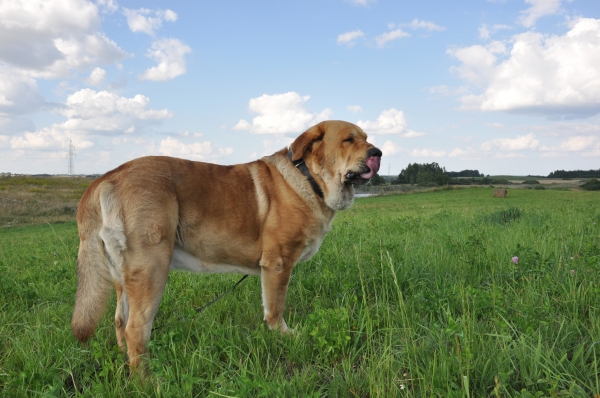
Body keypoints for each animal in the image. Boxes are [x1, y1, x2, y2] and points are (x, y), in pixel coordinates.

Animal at [70, 119, 380, 368]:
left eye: (366, 138)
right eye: (348, 139)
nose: (378, 153)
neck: (310, 179)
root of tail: (106, 177)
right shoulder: (278, 265)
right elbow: (275, 308)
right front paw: (284, 337)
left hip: (122, 277)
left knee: (120, 321)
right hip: (152, 269)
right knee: (136, 329)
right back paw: (147, 381)